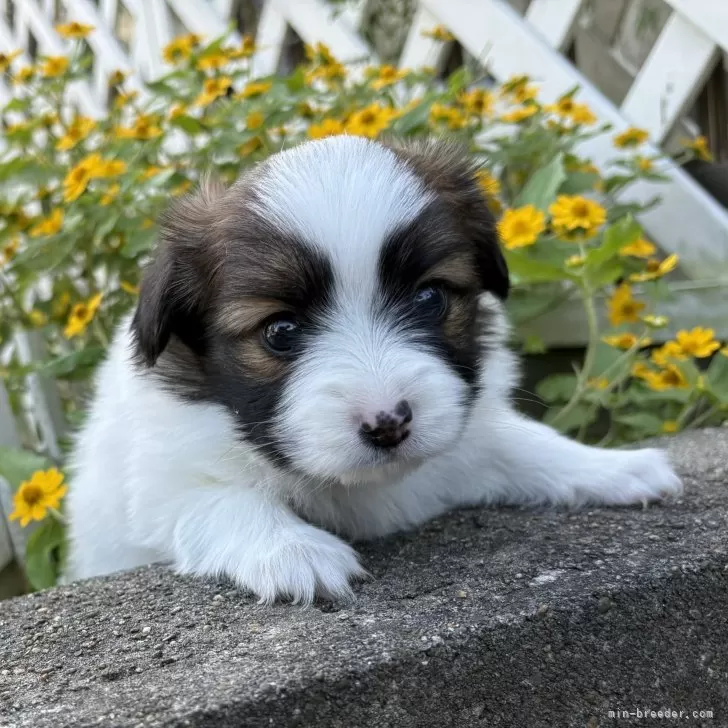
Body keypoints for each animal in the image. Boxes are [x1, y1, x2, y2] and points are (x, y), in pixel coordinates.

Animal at [64, 136, 684, 604]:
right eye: (280, 331)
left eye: (431, 298)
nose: (389, 423)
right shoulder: (161, 486)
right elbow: (221, 500)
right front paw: (293, 550)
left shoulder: (469, 435)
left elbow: (523, 445)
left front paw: (613, 467)